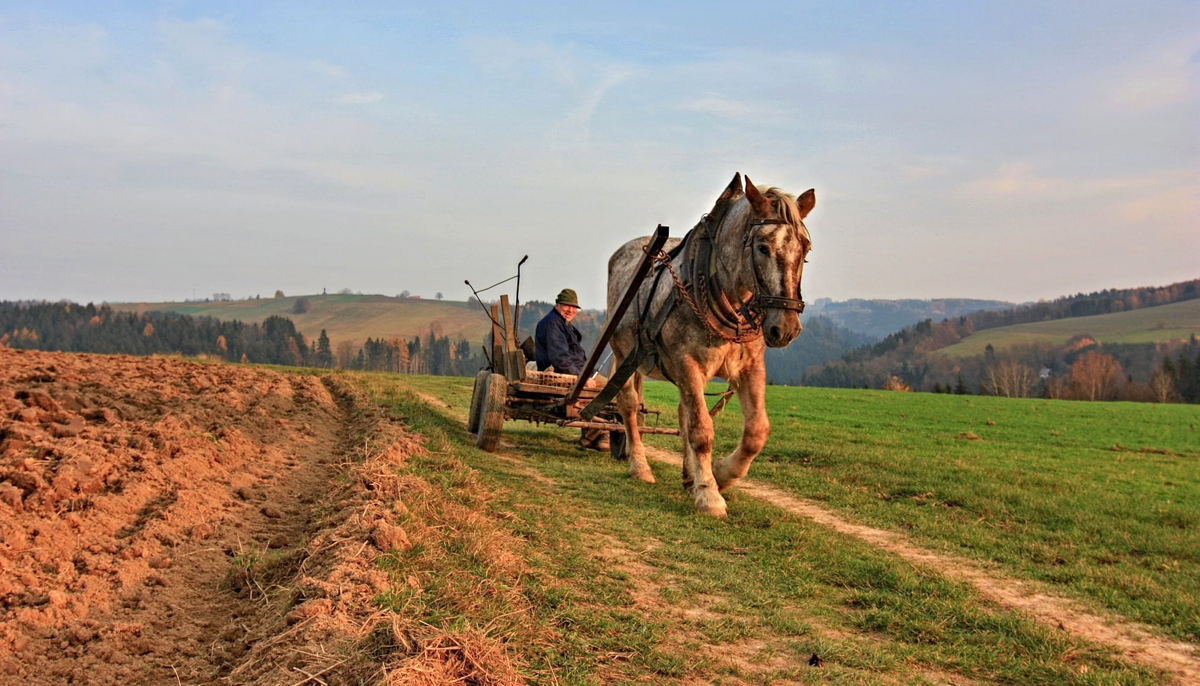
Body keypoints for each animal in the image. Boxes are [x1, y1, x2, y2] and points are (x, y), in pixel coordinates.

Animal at [609, 173, 816, 518]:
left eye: (805, 249)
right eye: (762, 247)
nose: (786, 328)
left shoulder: (749, 367)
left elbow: (756, 431)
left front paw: (720, 473)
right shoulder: (687, 362)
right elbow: (701, 430)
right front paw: (709, 492)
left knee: (683, 411)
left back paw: (689, 474)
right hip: (625, 354)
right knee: (629, 406)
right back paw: (640, 466)